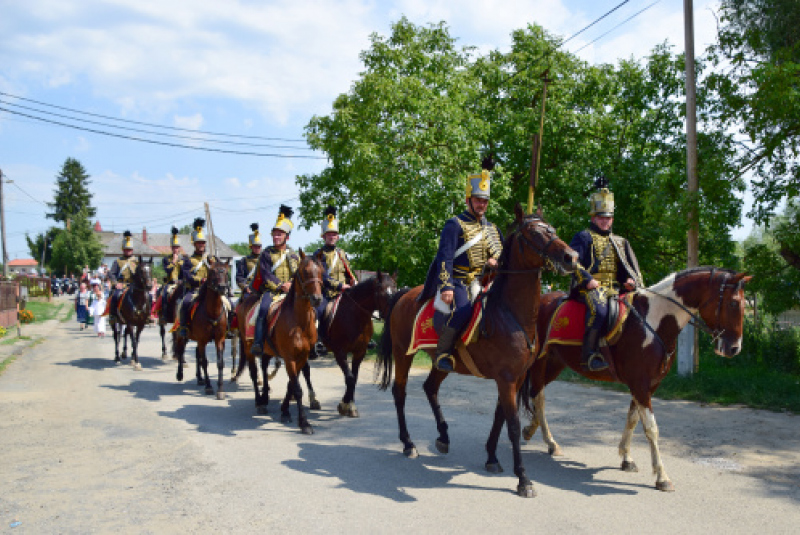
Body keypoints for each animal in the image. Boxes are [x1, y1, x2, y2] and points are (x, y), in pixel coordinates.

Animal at [171, 262, 230, 400]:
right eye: (212, 272)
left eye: (226, 272)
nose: (222, 287)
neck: (212, 312)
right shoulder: (202, 340)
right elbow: (205, 362)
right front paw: (209, 387)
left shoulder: (219, 339)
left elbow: (220, 362)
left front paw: (220, 390)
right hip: (182, 337)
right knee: (180, 352)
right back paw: (180, 374)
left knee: (197, 354)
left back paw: (199, 378)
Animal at [234, 252, 324, 436]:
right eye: (304, 271)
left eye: (320, 270)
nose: (317, 299)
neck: (299, 322)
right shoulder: (289, 358)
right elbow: (297, 388)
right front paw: (304, 423)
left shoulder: (301, 357)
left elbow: (292, 384)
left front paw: (285, 411)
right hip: (248, 348)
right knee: (254, 373)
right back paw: (259, 401)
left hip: (267, 351)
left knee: (264, 367)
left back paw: (265, 396)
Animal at [378, 205, 580, 498]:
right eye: (534, 232)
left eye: (551, 228)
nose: (571, 257)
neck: (511, 314)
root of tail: (403, 294)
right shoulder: (506, 379)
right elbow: (513, 425)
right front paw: (523, 479)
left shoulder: (515, 378)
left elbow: (499, 417)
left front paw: (492, 458)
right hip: (403, 353)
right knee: (400, 393)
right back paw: (408, 443)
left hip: (442, 362)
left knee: (430, 387)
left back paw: (443, 437)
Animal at [520, 268, 752, 494]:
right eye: (733, 303)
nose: (734, 348)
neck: (654, 322)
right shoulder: (640, 384)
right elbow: (651, 428)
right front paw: (662, 477)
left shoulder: (647, 385)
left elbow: (632, 419)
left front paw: (626, 458)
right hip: (539, 362)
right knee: (538, 397)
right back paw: (550, 441)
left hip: (555, 363)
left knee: (535, 395)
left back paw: (532, 430)